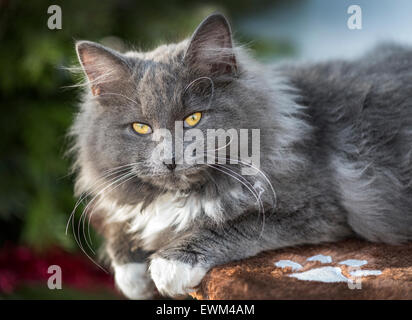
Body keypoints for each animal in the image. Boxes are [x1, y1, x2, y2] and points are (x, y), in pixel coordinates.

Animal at [69, 11, 412, 298]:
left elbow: (230, 224)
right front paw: (133, 276)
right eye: (140, 127)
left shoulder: (314, 209)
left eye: (193, 119)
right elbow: (127, 222)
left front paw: (169, 265)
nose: (170, 160)